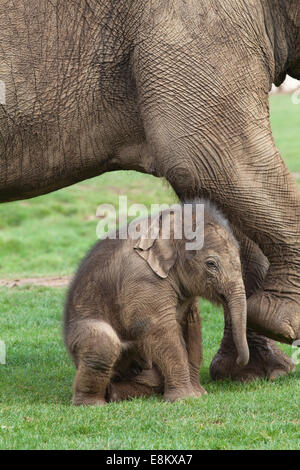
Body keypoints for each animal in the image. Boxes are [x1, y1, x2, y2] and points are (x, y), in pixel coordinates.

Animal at [64, 198, 250, 404]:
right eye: (211, 264)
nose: (239, 362)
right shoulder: (143, 278)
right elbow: (159, 327)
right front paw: (185, 399)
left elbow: (192, 325)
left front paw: (199, 394)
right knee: (103, 343)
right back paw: (93, 404)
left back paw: (114, 393)